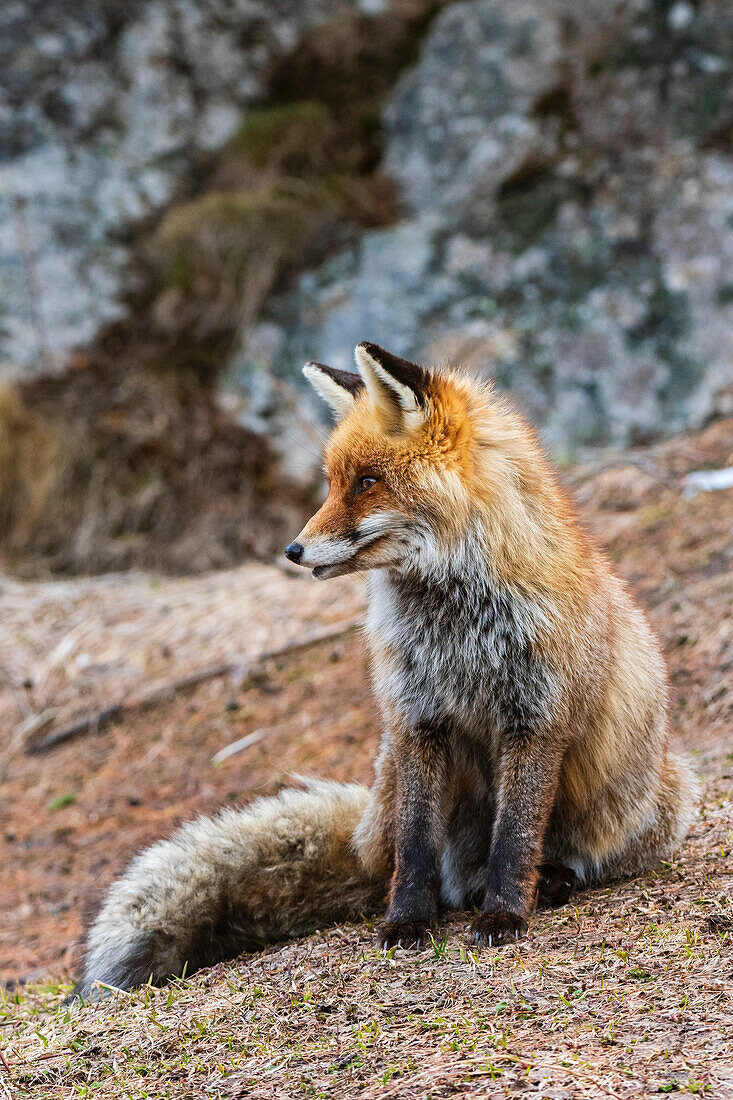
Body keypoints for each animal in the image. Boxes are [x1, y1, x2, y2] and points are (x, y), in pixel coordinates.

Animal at [75, 345, 695, 998]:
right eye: (331, 482)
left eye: (368, 482)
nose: (292, 551)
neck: (457, 622)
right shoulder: (417, 720)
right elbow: (417, 847)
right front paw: (407, 924)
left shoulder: (535, 719)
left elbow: (514, 839)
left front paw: (503, 917)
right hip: (393, 768)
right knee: (425, 866)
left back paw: (547, 882)